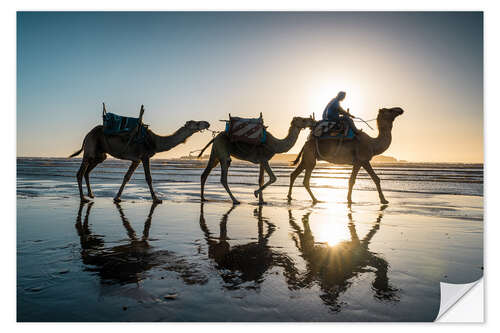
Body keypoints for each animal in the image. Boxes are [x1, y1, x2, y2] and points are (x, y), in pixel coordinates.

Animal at [68, 110, 209, 202]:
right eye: (196, 123)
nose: (207, 123)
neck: (155, 141)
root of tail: (87, 134)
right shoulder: (145, 156)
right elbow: (149, 178)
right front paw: (156, 199)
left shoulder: (136, 160)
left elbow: (127, 177)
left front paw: (117, 197)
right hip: (90, 149)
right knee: (80, 172)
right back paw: (83, 198)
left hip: (100, 154)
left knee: (88, 171)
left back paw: (91, 194)